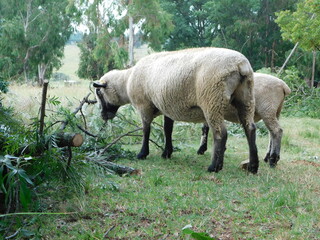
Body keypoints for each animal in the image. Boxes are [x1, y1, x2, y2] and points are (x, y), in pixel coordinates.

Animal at [94, 47, 258, 173]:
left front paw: (142, 153)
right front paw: (167, 152)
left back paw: (214, 167)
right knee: (250, 129)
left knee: (220, 133)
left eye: (99, 93)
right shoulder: (167, 107)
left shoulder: (144, 105)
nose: (103, 115)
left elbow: (146, 129)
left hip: (212, 99)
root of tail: (240, 65)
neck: (126, 81)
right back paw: (253, 166)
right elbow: (168, 130)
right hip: (246, 98)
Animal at [162, 72, 290, 168]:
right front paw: (205, 149)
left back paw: (273, 160)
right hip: (275, 111)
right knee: (272, 133)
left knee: (277, 131)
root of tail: (283, 86)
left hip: (267, 109)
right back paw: (267, 157)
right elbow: (205, 128)